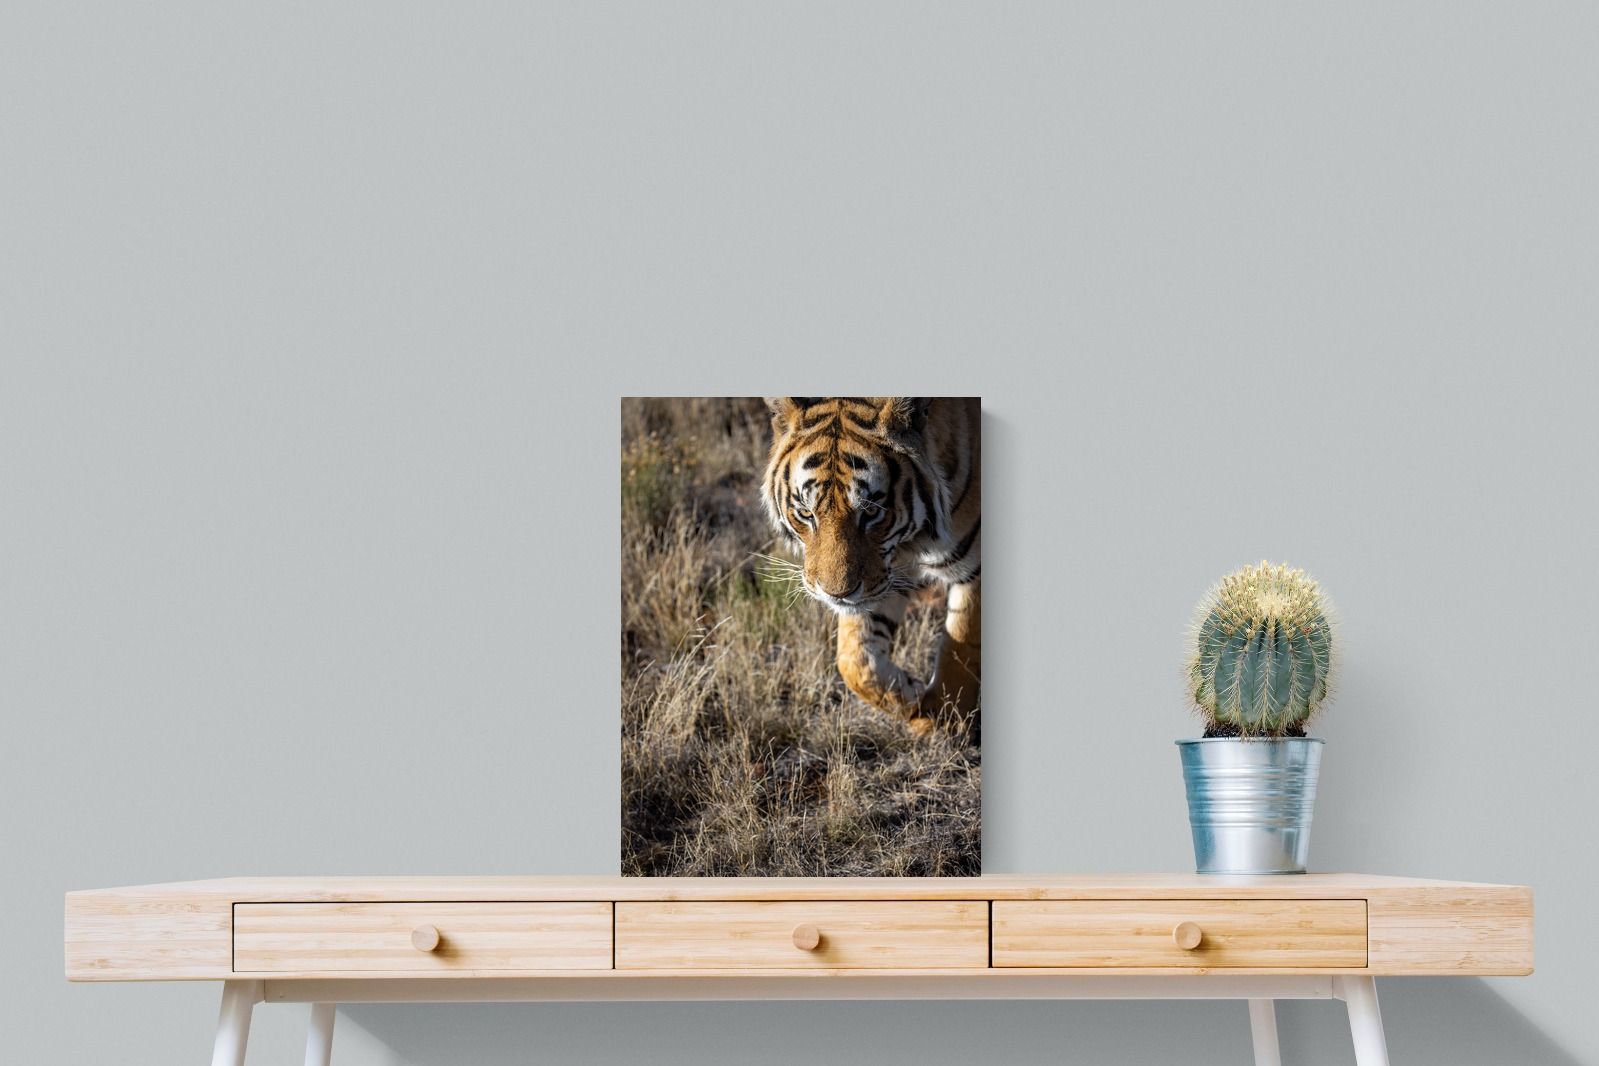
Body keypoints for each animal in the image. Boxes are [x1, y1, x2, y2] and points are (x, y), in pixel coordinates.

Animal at [761, 397, 980, 734]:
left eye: (872, 512)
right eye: (806, 513)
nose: (836, 594)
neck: (913, 541)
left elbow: (962, 645)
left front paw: (944, 719)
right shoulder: (886, 574)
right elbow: (854, 660)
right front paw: (912, 696)